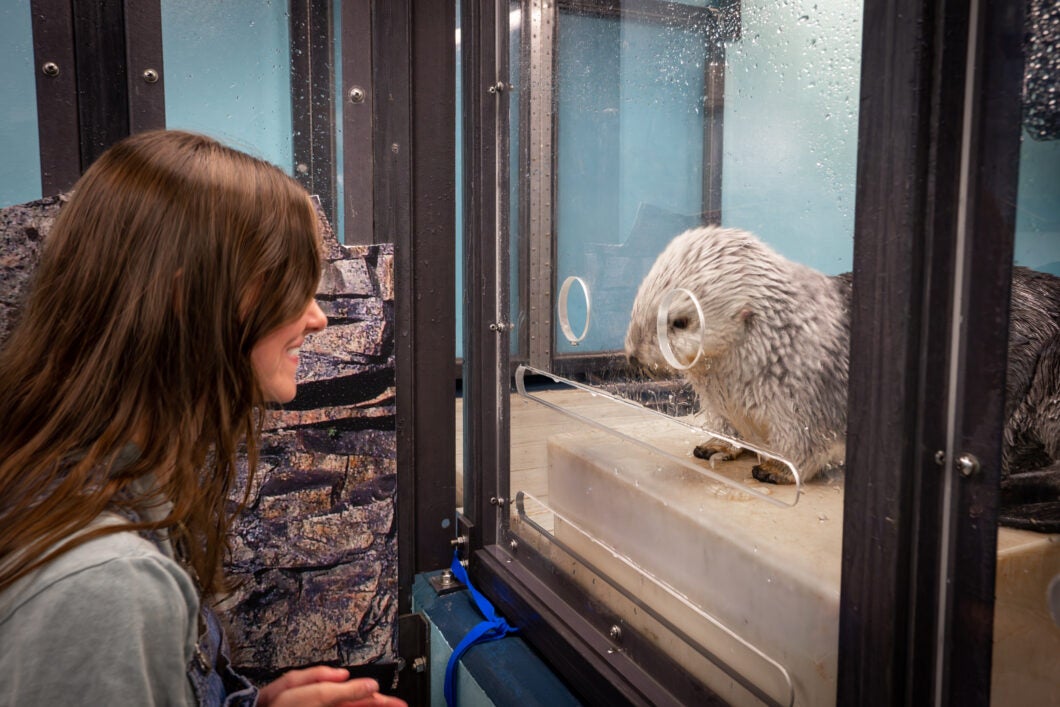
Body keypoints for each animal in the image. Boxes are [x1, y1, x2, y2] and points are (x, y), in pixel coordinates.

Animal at [625, 226, 1060, 530]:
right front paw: (717, 445)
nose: (631, 354)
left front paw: (776, 469)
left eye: (679, 322)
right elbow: (723, 426)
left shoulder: (802, 400)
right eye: (639, 302)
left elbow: (804, 446)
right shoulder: (721, 404)